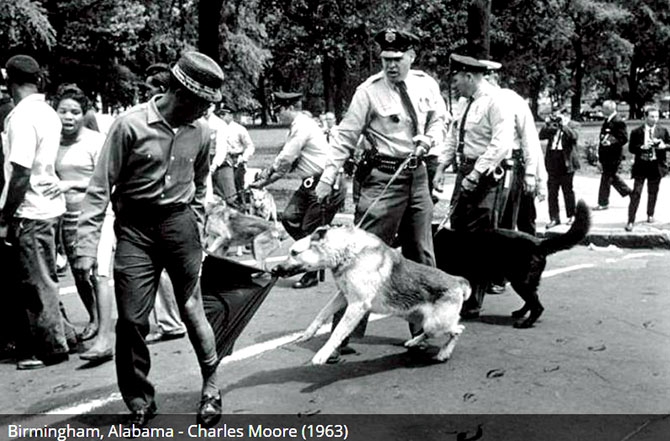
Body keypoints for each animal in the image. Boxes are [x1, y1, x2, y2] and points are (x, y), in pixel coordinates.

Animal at [272, 225, 472, 362]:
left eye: (294, 252)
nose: (273, 270)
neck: (346, 253)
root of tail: (457, 281)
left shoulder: (357, 305)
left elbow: (337, 332)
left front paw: (323, 354)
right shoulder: (343, 296)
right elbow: (322, 314)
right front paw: (308, 333)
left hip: (435, 323)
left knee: (458, 330)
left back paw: (444, 353)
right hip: (417, 318)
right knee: (430, 332)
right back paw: (414, 342)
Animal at [434, 199, 592, 326]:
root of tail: (539, 243)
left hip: (521, 281)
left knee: (537, 306)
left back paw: (526, 323)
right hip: (526, 281)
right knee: (532, 300)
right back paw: (520, 313)